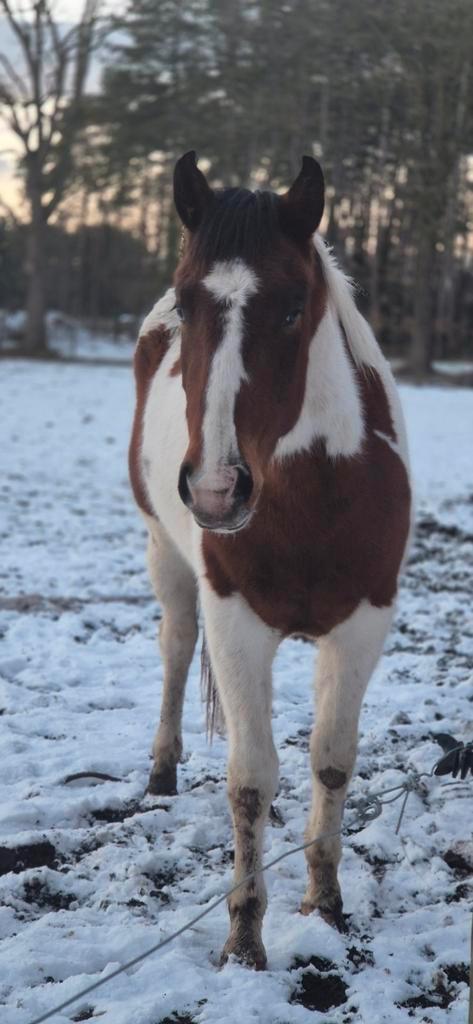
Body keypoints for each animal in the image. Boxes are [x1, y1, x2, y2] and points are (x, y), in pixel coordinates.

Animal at [129, 151, 412, 970]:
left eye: (291, 309)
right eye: (187, 305)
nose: (217, 489)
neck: (314, 499)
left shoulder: (361, 626)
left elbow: (331, 758)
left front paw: (325, 901)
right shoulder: (236, 623)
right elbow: (251, 779)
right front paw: (245, 939)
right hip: (166, 556)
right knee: (173, 648)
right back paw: (161, 770)